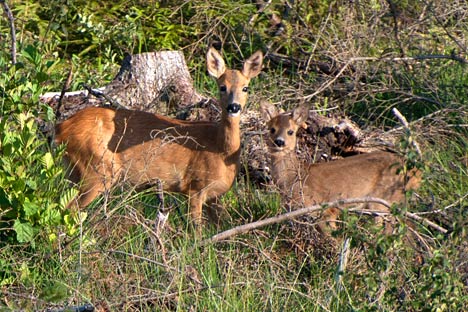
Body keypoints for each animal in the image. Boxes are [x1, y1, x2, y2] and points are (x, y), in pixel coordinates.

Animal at [54, 48, 264, 227]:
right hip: (96, 169)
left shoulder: (215, 197)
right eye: (222, 87)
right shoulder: (194, 187)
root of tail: (61, 128)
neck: (220, 150)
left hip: (75, 172)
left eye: (245, 88)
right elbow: (197, 232)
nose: (234, 107)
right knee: (69, 209)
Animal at [262, 102, 422, 234]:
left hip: (383, 199)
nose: (279, 142)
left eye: (290, 131)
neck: (294, 178)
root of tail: (417, 173)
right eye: (272, 129)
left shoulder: (323, 209)